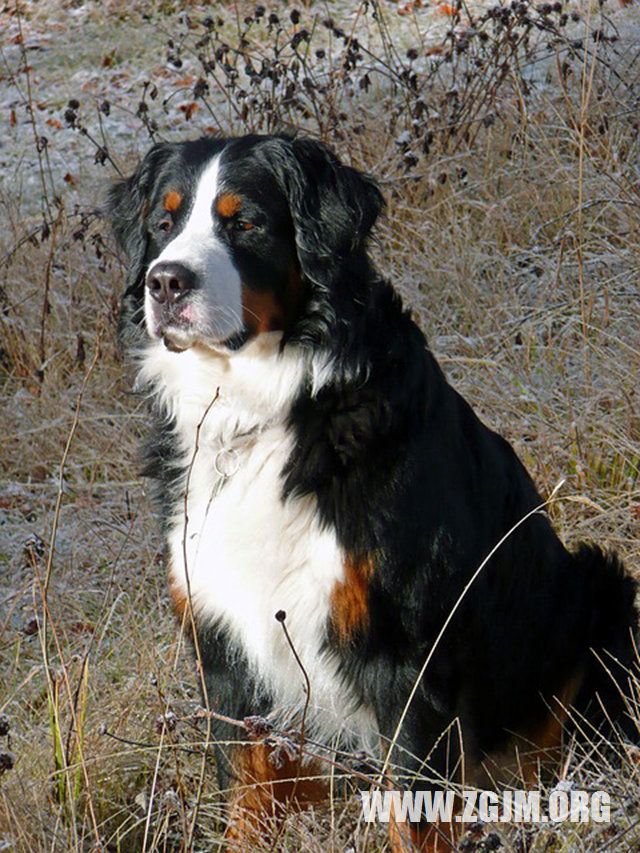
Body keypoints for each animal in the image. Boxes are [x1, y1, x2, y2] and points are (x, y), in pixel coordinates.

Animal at [107, 136, 636, 848]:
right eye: (163, 223)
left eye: (245, 222)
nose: (165, 281)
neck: (257, 413)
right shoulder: (225, 649)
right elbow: (247, 795)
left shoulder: (406, 653)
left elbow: (413, 815)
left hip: (600, 593)